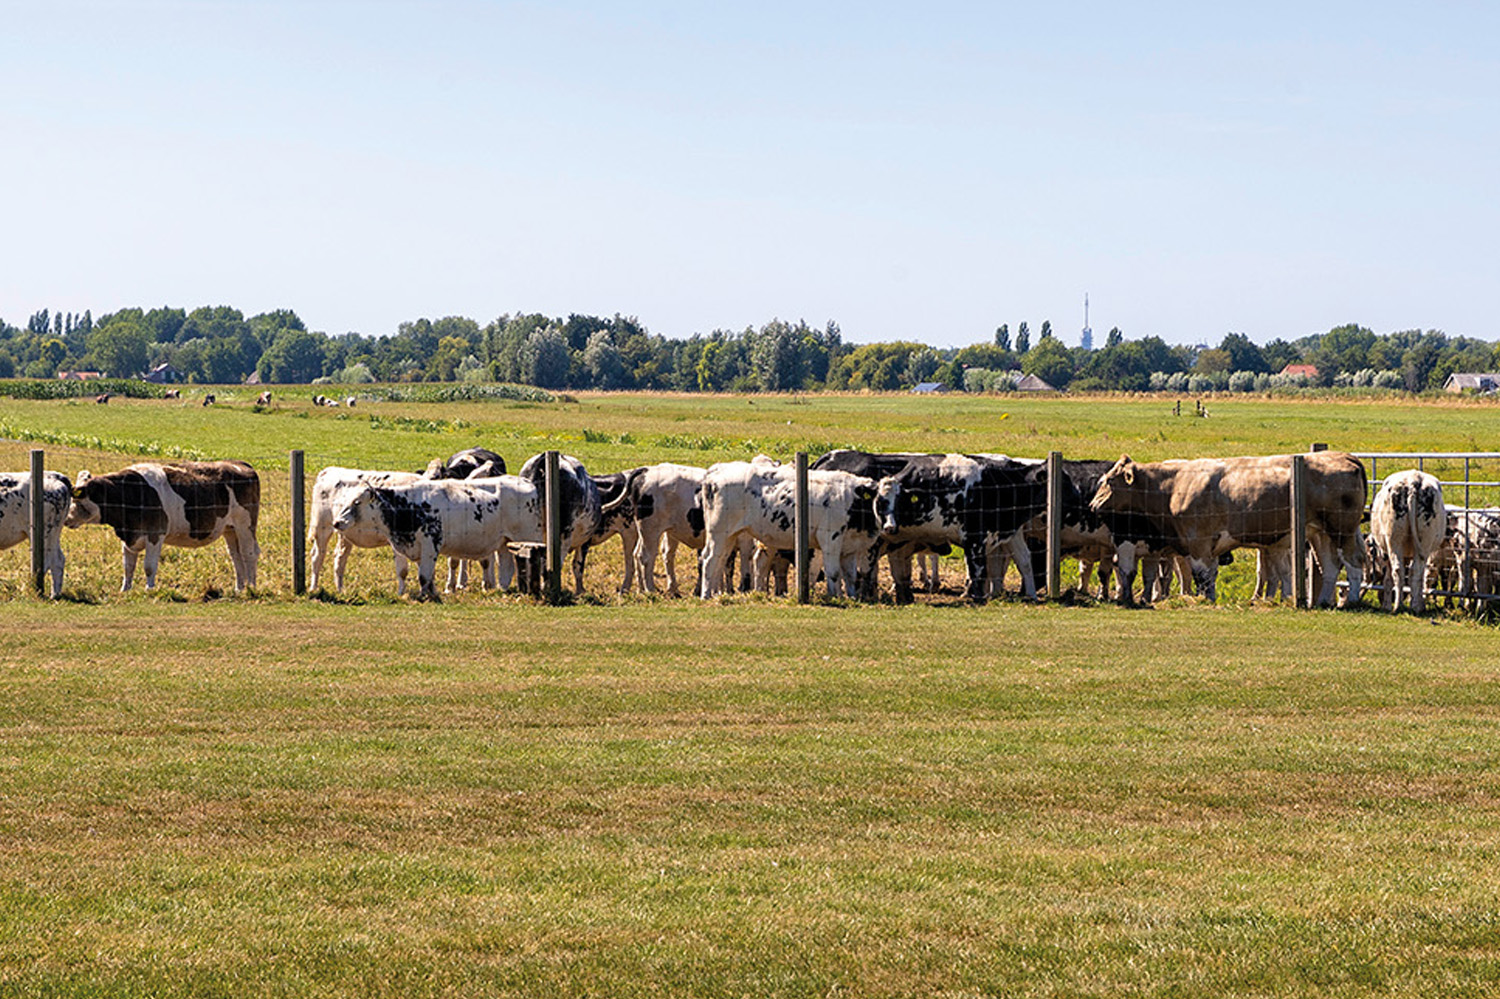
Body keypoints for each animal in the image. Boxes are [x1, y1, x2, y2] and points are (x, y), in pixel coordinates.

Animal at [65, 462, 261, 591]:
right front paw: (125, 590)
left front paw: (149, 589)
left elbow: (149, 566)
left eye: (78, 499)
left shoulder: (155, 534)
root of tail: (240, 464)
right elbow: (128, 566)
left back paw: (251, 588)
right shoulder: (130, 536)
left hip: (245, 525)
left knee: (248, 553)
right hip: (230, 529)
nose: (66, 519)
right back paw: (239, 588)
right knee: (236, 556)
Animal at [1092, 453, 1374, 606]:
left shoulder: (1198, 542)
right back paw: (1325, 600)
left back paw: (1351, 599)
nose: (1093, 505)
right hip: (1320, 533)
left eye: (1109, 481)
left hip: (1342, 529)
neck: (1174, 485)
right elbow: (1210, 575)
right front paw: (1210, 599)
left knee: (1353, 562)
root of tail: (1344, 456)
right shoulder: (1210, 546)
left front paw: (1204, 600)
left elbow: (1201, 576)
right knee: (1330, 566)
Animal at [1368, 468, 1446, 612]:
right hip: (1422, 542)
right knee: (1413, 571)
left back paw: (1400, 605)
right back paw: (1414, 606)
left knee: (1399, 570)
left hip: (1395, 541)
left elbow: (1388, 580)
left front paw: (1386, 604)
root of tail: (1412, 481)